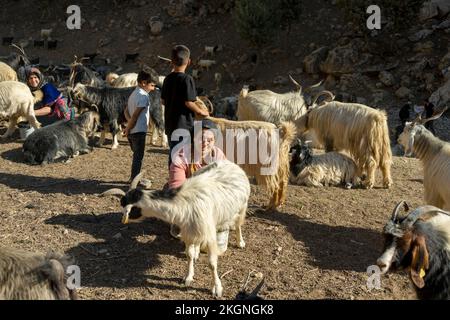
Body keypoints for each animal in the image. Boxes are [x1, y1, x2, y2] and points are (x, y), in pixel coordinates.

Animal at [102, 160, 251, 298]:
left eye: (130, 209)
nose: (122, 219)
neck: (182, 201)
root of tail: (230, 163)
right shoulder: (188, 231)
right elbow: (189, 255)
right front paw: (188, 277)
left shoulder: (209, 234)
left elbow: (212, 263)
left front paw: (217, 288)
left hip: (242, 206)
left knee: (238, 224)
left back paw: (240, 242)